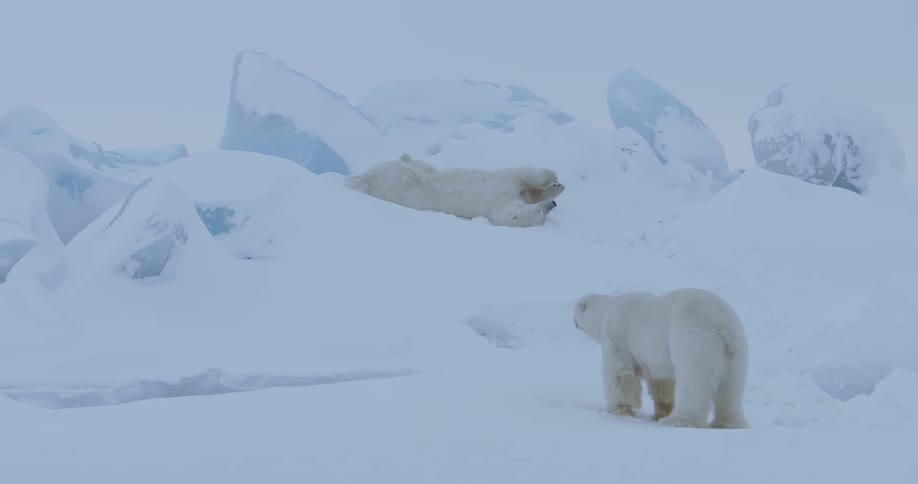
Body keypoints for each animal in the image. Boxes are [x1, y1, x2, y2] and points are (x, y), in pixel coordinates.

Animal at [345, 154, 564, 227]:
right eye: (540, 215)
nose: (552, 205)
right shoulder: (502, 188)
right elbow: (522, 174)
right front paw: (554, 180)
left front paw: (554, 187)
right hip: (398, 181)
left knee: (422, 165)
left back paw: (406, 155)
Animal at [573, 288, 749, 429]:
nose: (573, 320)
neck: (607, 308)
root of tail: (723, 327)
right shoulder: (656, 356)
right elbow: (661, 381)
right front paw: (660, 412)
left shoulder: (616, 335)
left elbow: (619, 373)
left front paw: (619, 410)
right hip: (736, 352)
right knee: (731, 388)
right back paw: (728, 423)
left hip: (694, 342)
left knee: (693, 382)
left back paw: (679, 420)